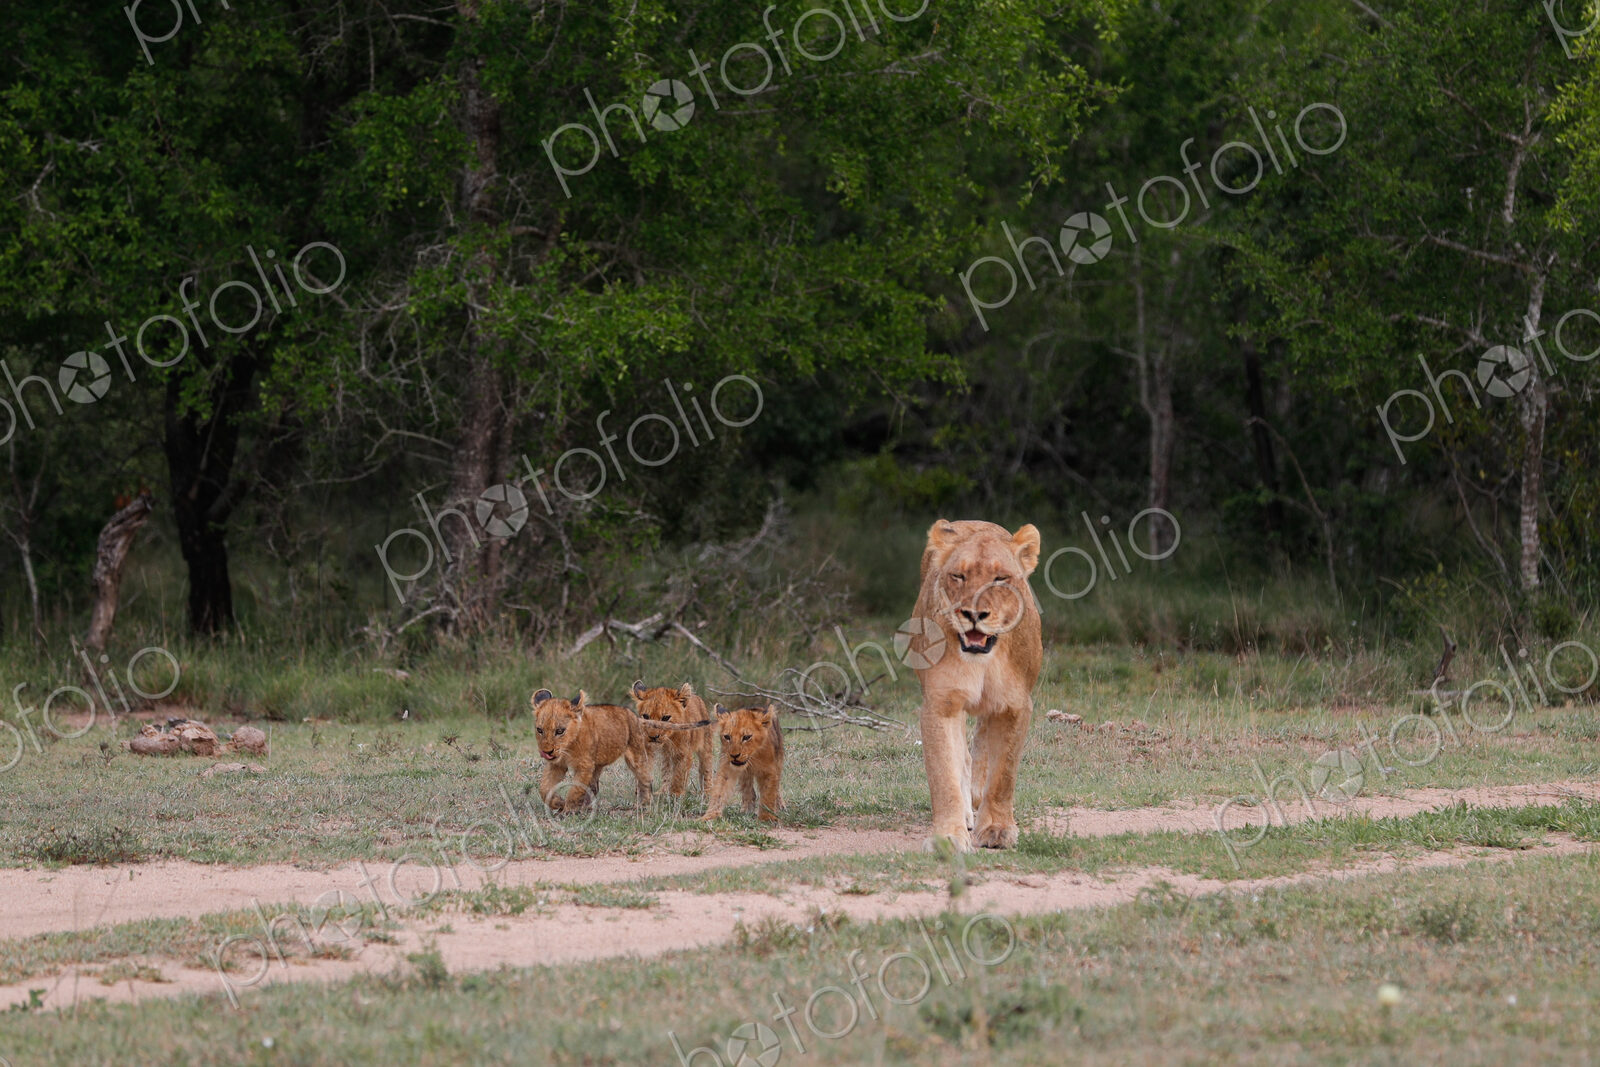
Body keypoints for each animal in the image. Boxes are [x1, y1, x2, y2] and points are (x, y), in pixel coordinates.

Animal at [907, 519, 1042, 851]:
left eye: (1000, 578)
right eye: (959, 576)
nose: (973, 615)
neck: (983, 659)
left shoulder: (1015, 705)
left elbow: (1003, 773)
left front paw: (997, 829)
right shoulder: (940, 704)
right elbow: (944, 773)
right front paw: (948, 836)